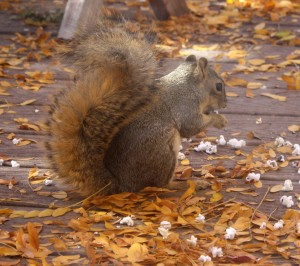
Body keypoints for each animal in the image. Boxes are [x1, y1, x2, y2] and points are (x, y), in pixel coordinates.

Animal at [47, 22, 226, 195]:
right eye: (218, 86)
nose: (225, 104)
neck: (191, 86)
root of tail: (121, 185)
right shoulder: (185, 104)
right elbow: (191, 126)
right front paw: (219, 119)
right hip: (161, 150)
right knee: (160, 185)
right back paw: (186, 184)